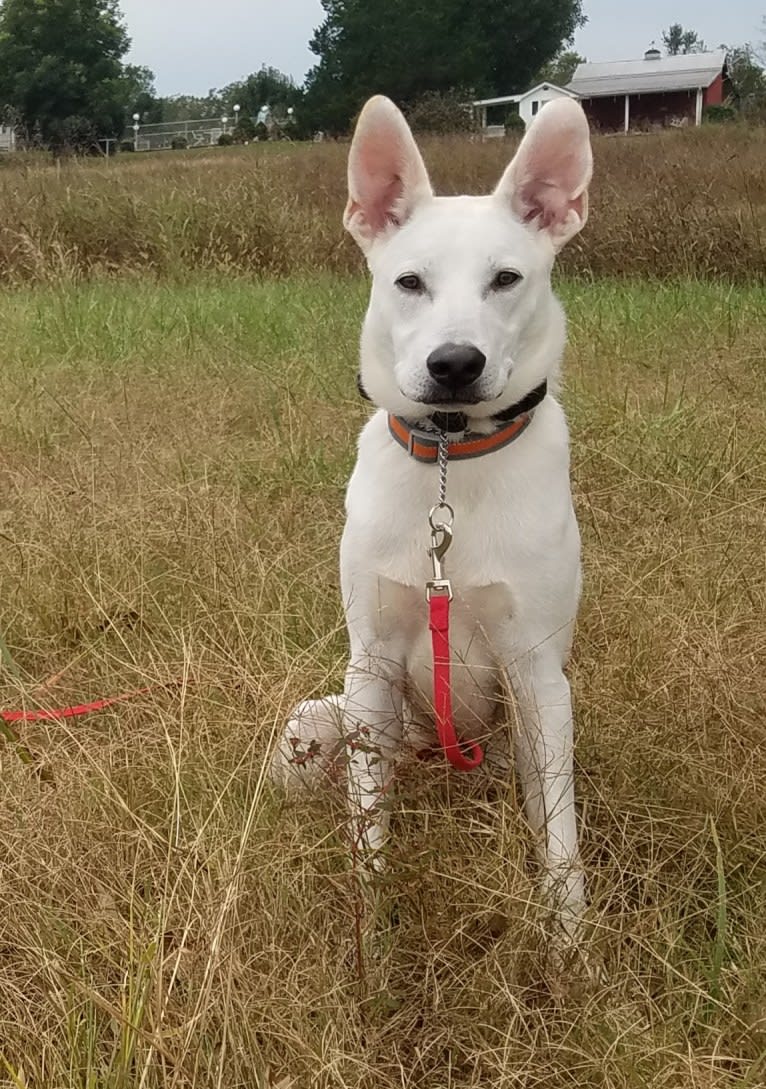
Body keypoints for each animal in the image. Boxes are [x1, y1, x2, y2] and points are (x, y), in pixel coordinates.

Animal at [272, 93, 597, 945]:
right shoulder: (373, 663)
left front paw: (570, 944)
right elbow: (369, 823)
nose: (454, 365)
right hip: (313, 725)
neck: (454, 457)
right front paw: (372, 926)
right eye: (409, 281)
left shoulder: (538, 674)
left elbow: (560, 837)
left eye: (506, 279)